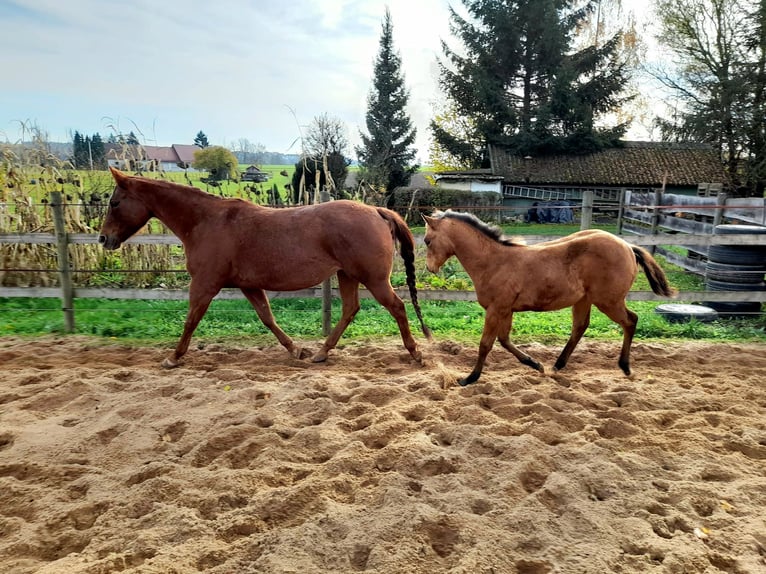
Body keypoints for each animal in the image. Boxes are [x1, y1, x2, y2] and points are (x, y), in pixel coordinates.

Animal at [99, 167, 431, 368]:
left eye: (115, 202)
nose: (104, 238)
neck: (207, 221)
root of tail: (377, 210)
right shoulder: (248, 285)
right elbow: (267, 318)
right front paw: (296, 350)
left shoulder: (204, 284)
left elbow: (190, 321)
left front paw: (174, 357)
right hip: (347, 274)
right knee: (351, 309)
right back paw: (321, 353)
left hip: (373, 278)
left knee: (397, 307)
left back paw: (415, 352)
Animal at [423, 210, 677, 385]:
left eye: (427, 240)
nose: (430, 269)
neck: (493, 261)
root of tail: (627, 246)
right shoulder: (505, 310)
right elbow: (504, 340)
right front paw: (535, 364)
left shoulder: (496, 309)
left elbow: (486, 344)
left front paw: (469, 378)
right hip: (584, 300)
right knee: (580, 327)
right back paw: (556, 366)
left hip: (609, 301)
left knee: (630, 321)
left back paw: (625, 367)